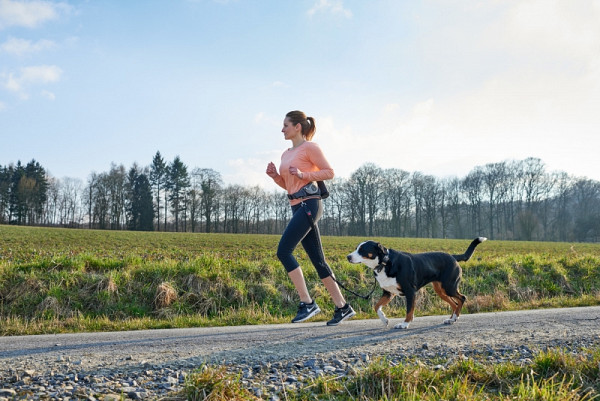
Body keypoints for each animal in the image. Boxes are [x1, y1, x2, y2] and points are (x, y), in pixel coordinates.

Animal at [350, 238, 486, 328]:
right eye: (356, 248)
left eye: (362, 250)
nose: (348, 257)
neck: (385, 263)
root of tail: (453, 257)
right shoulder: (389, 293)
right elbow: (377, 306)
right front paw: (384, 319)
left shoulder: (410, 292)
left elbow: (409, 310)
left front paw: (405, 324)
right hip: (440, 290)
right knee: (454, 303)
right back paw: (451, 319)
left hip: (449, 287)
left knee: (462, 298)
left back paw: (455, 318)